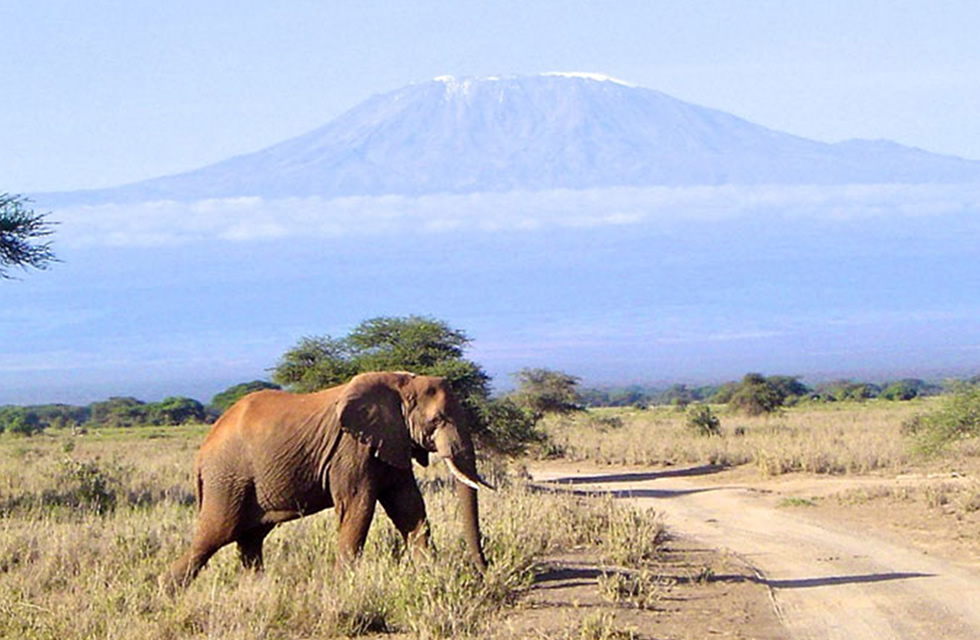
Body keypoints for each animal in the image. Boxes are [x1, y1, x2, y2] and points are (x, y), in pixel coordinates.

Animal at [164, 370, 494, 592]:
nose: (484, 570)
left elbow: (409, 507)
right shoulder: (351, 449)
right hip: (227, 478)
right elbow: (358, 508)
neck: (400, 382)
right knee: (216, 533)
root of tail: (202, 451)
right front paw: (346, 585)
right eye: (437, 421)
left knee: (250, 539)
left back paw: (257, 590)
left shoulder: (392, 441)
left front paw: (432, 574)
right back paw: (167, 592)